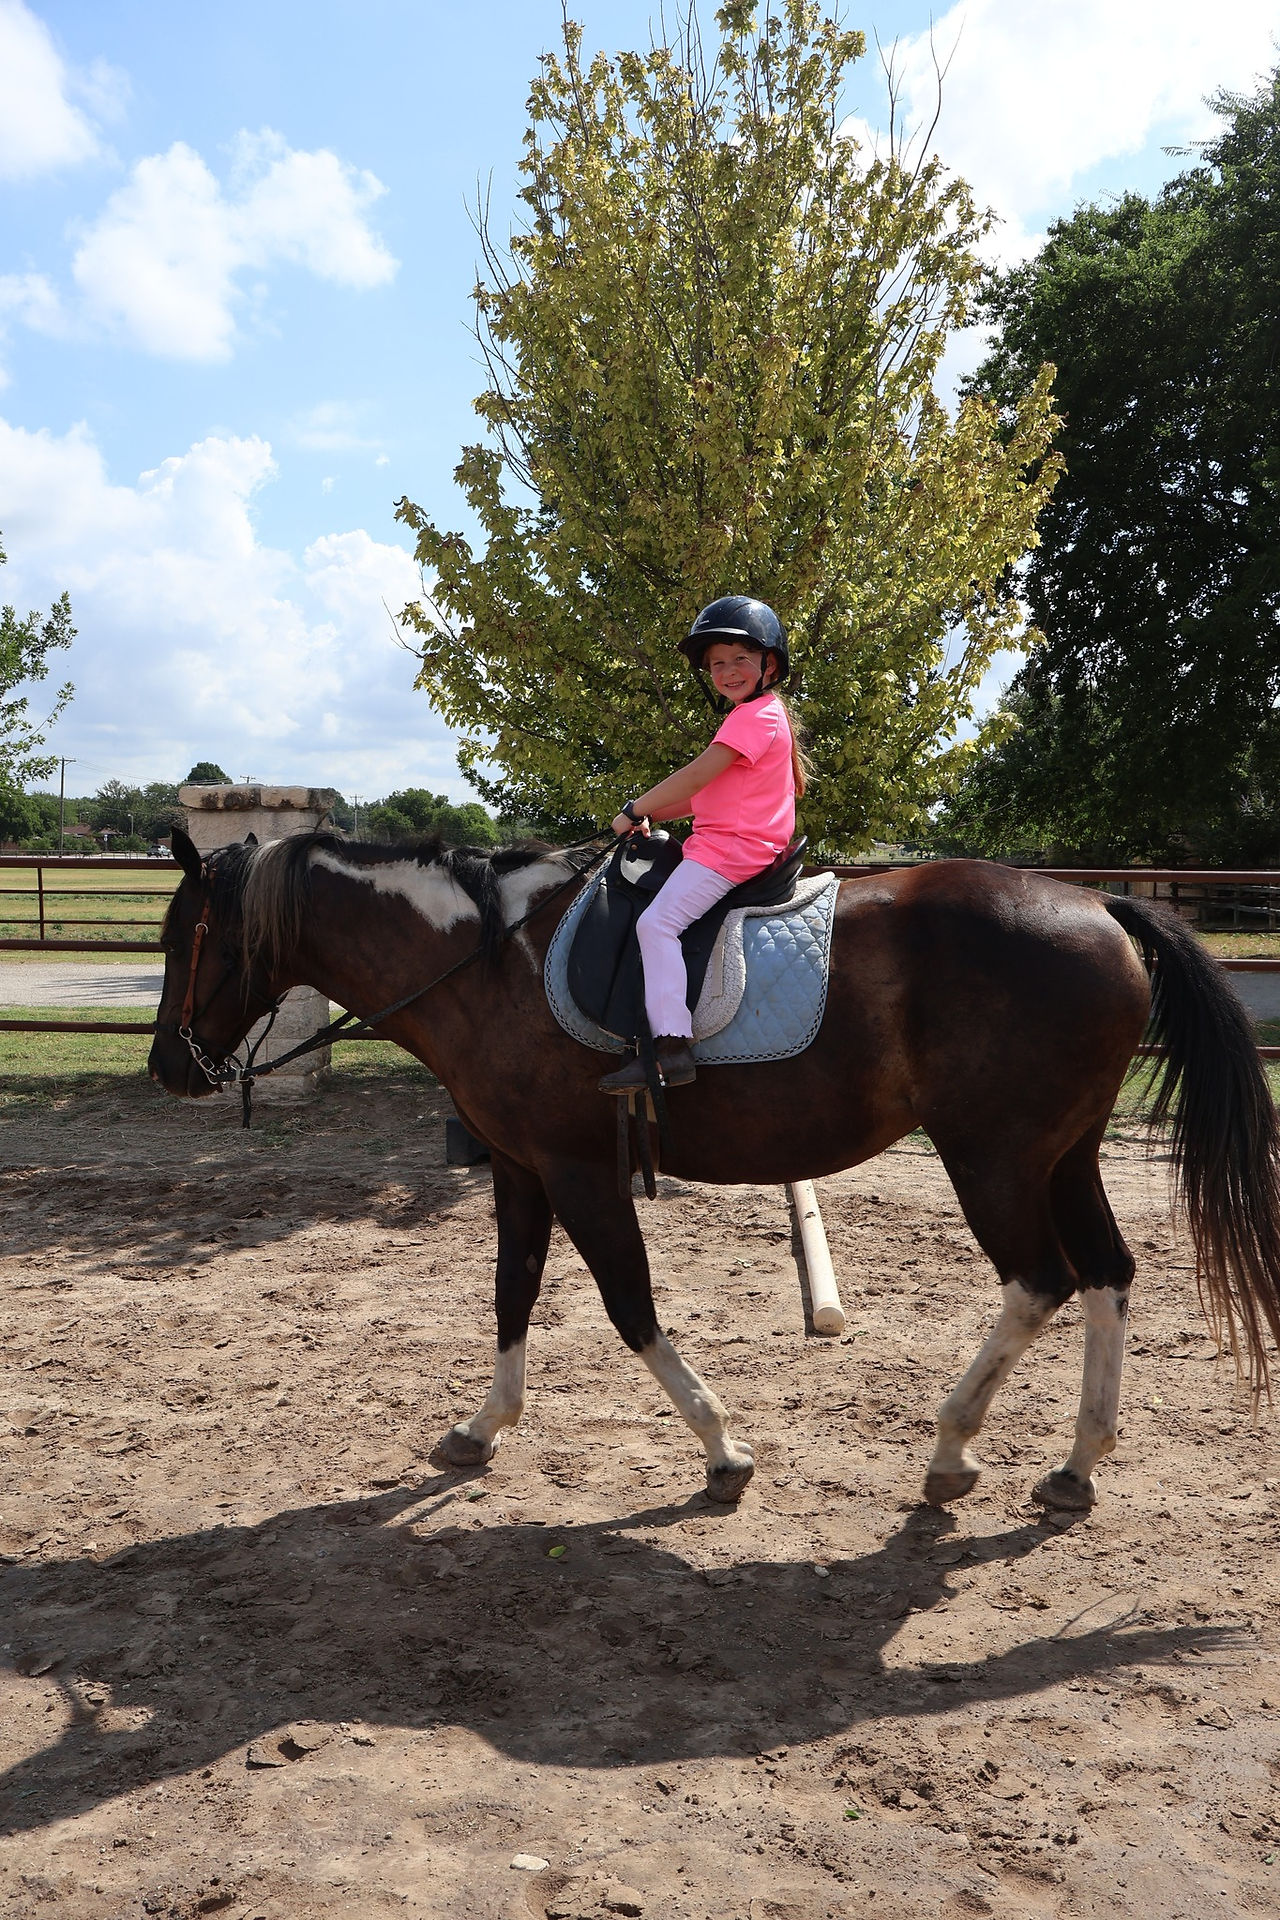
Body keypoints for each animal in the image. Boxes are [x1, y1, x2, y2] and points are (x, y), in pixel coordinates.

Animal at [147, 826, 1280, 1512]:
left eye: (183, 939)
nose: (170, 1069)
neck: (485, 960)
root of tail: (1097, 907)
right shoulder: (518, 1168)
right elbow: (512, 1292)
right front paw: (481, 1427)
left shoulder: (577, 1170)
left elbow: (628, 1306)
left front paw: (721, 1447)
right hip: (1061, 1156)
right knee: (1106, 1277)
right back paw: (1076, 1464)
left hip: (993, 1158)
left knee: (1039, 1282)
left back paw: (952, 1446)